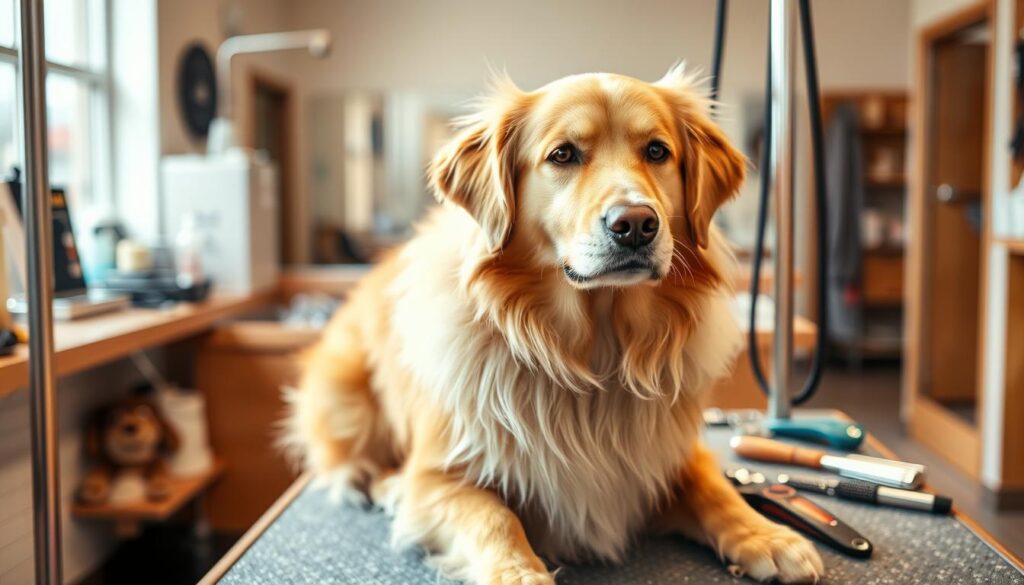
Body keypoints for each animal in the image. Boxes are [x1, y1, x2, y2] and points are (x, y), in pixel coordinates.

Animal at [282, 66, 823, 581]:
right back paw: (367, 481)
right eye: (563, 155)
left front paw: (767, 537)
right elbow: (495, 517)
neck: (592, 353)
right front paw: (518, 572)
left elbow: (716, 490)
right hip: (345, 387)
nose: (636, 224)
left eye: (656, 151)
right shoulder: (435, 477)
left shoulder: (670, 455)